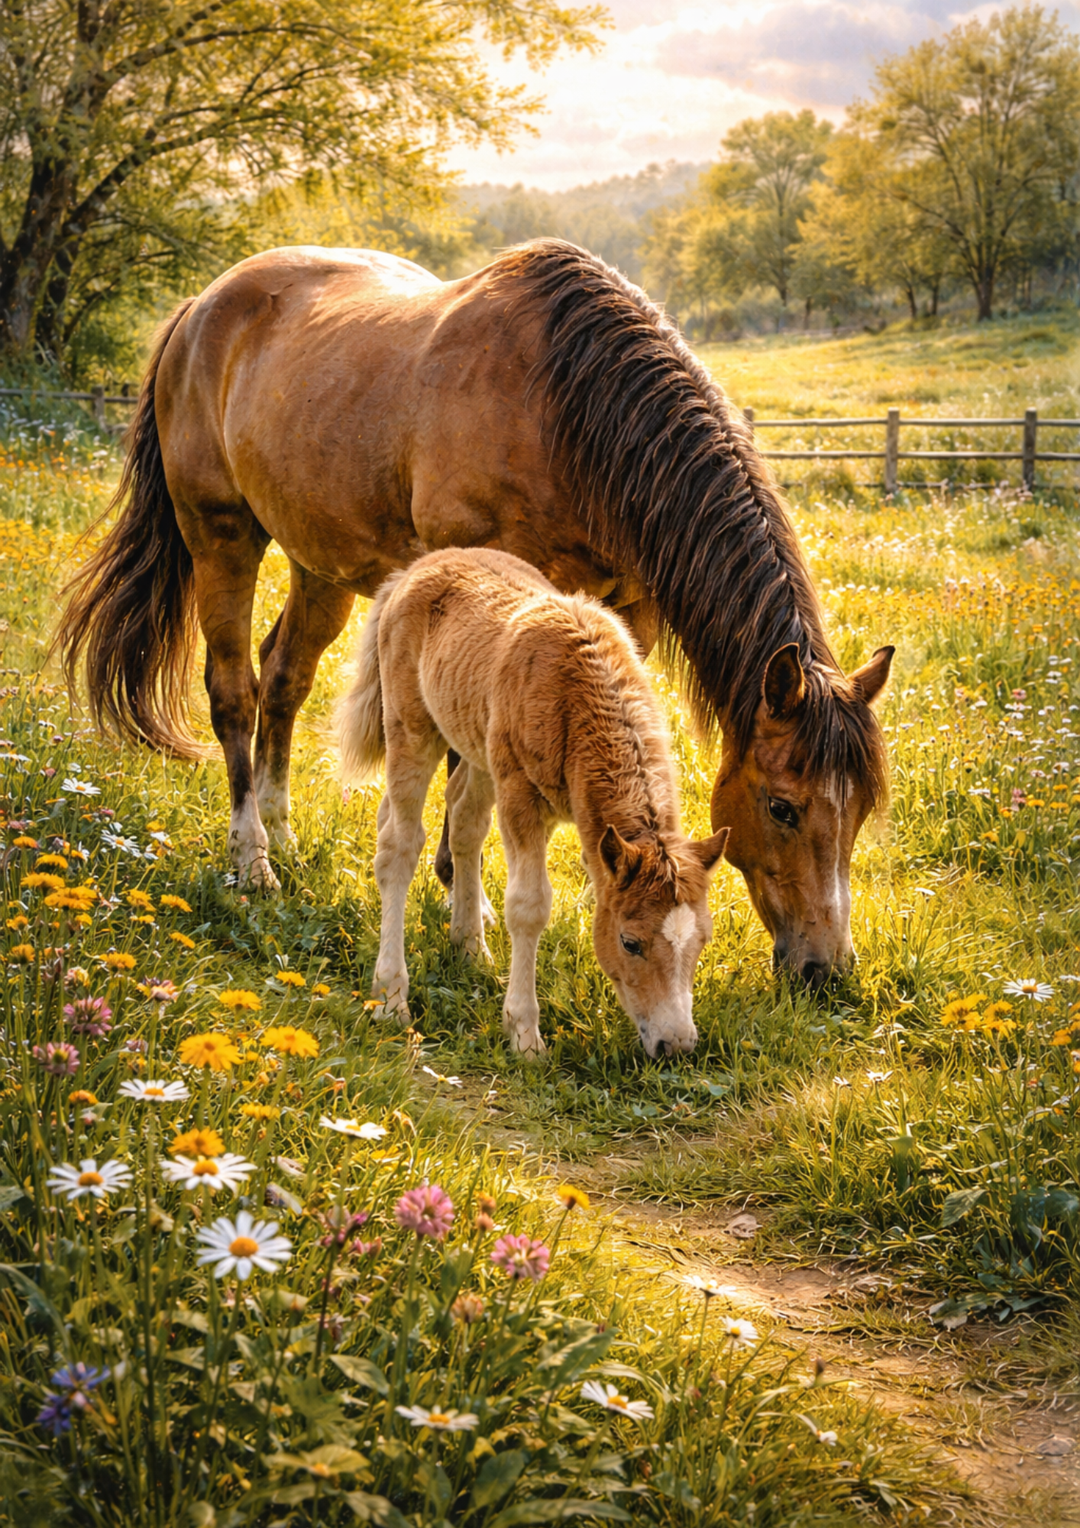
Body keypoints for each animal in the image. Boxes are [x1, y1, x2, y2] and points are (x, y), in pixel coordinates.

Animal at [56, 238, 893, 984]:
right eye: (783, 807)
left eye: (859, 809)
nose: (825, 970)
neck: (568, 409)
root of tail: (201, 306)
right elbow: (470, 772)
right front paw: (468, 903)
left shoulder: (625, 622)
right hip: (221, 535)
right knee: (234, 690)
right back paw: (252, 858)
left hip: (319, 563)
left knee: (283, 679)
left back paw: (284, 832)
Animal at [335, 546, 729, 1057]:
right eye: (630, 942)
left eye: (701, 942)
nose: (676, 1045)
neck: (579, 694)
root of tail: (413, 569)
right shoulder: (520, 796)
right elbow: (529, 905)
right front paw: (524, 1034)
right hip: (411, 730)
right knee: (397, 848)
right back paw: (390, 997)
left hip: (479, 749)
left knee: (462, 821)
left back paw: (470, 948)